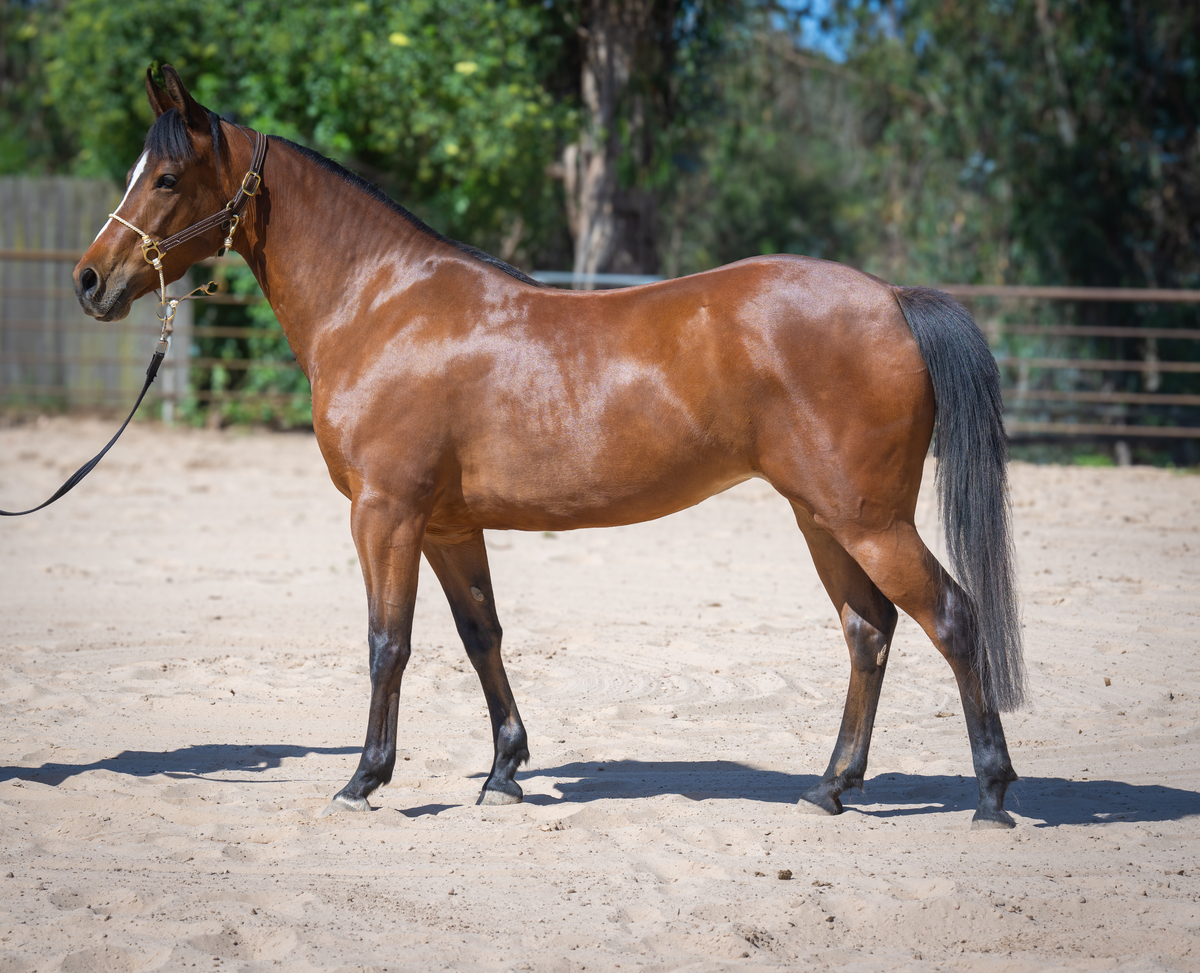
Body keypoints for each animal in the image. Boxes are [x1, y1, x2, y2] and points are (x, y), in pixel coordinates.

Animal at [74, 66, 1025, 829]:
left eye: (167, 176)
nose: (90, 281)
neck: (381, 304)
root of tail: (892, 298)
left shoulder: (385, 514)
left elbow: (388, 643)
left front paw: (364, 780)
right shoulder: (447, 525)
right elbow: (481, 635)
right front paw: (504, 771)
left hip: (867, 519)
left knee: (951, 617)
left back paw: (990, 792)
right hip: (820, 516)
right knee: (869, 631)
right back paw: (831, 786)